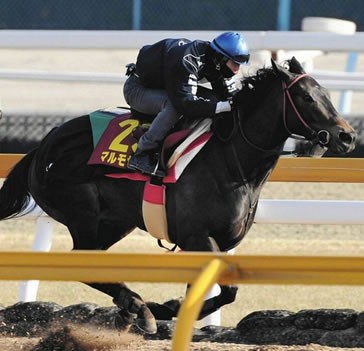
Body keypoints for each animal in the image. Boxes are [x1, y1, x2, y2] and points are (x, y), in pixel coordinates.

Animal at [0, 56, 356, 334]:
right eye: (305, 97)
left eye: (325, 93)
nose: (348, 136)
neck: (231, 161)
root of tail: (42, 146)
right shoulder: (196, 236)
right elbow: (228, 290)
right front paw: (164, 306)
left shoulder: (218, 242)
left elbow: (213, 291)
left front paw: (169, 306)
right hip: (82, 214)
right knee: (83, 262)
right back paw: (138, 306)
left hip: (115, 222)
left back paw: (132, 307)